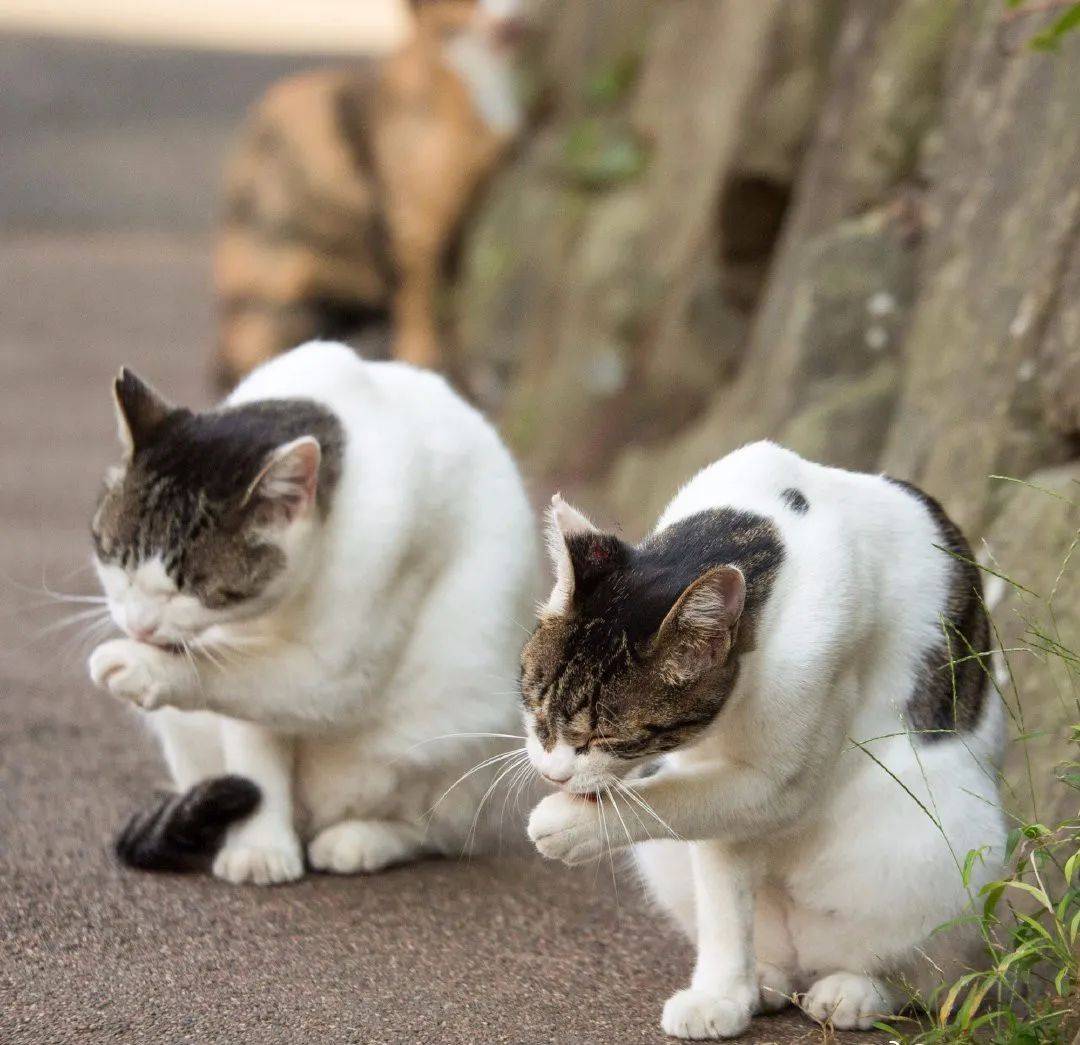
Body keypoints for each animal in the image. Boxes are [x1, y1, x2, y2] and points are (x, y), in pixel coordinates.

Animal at [518, 440, 1006, 1036]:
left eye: (609, 735)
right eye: (535, 703)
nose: (552, 773)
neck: (764, 525)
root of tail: (809, 959)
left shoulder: (782, 778)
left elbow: (679, 801)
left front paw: (571, 824)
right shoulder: (708, 770)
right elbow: (719, 873)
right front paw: (723, 995)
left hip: (950, 841)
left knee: (931, 976)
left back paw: (860, 990)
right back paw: (764, 979)